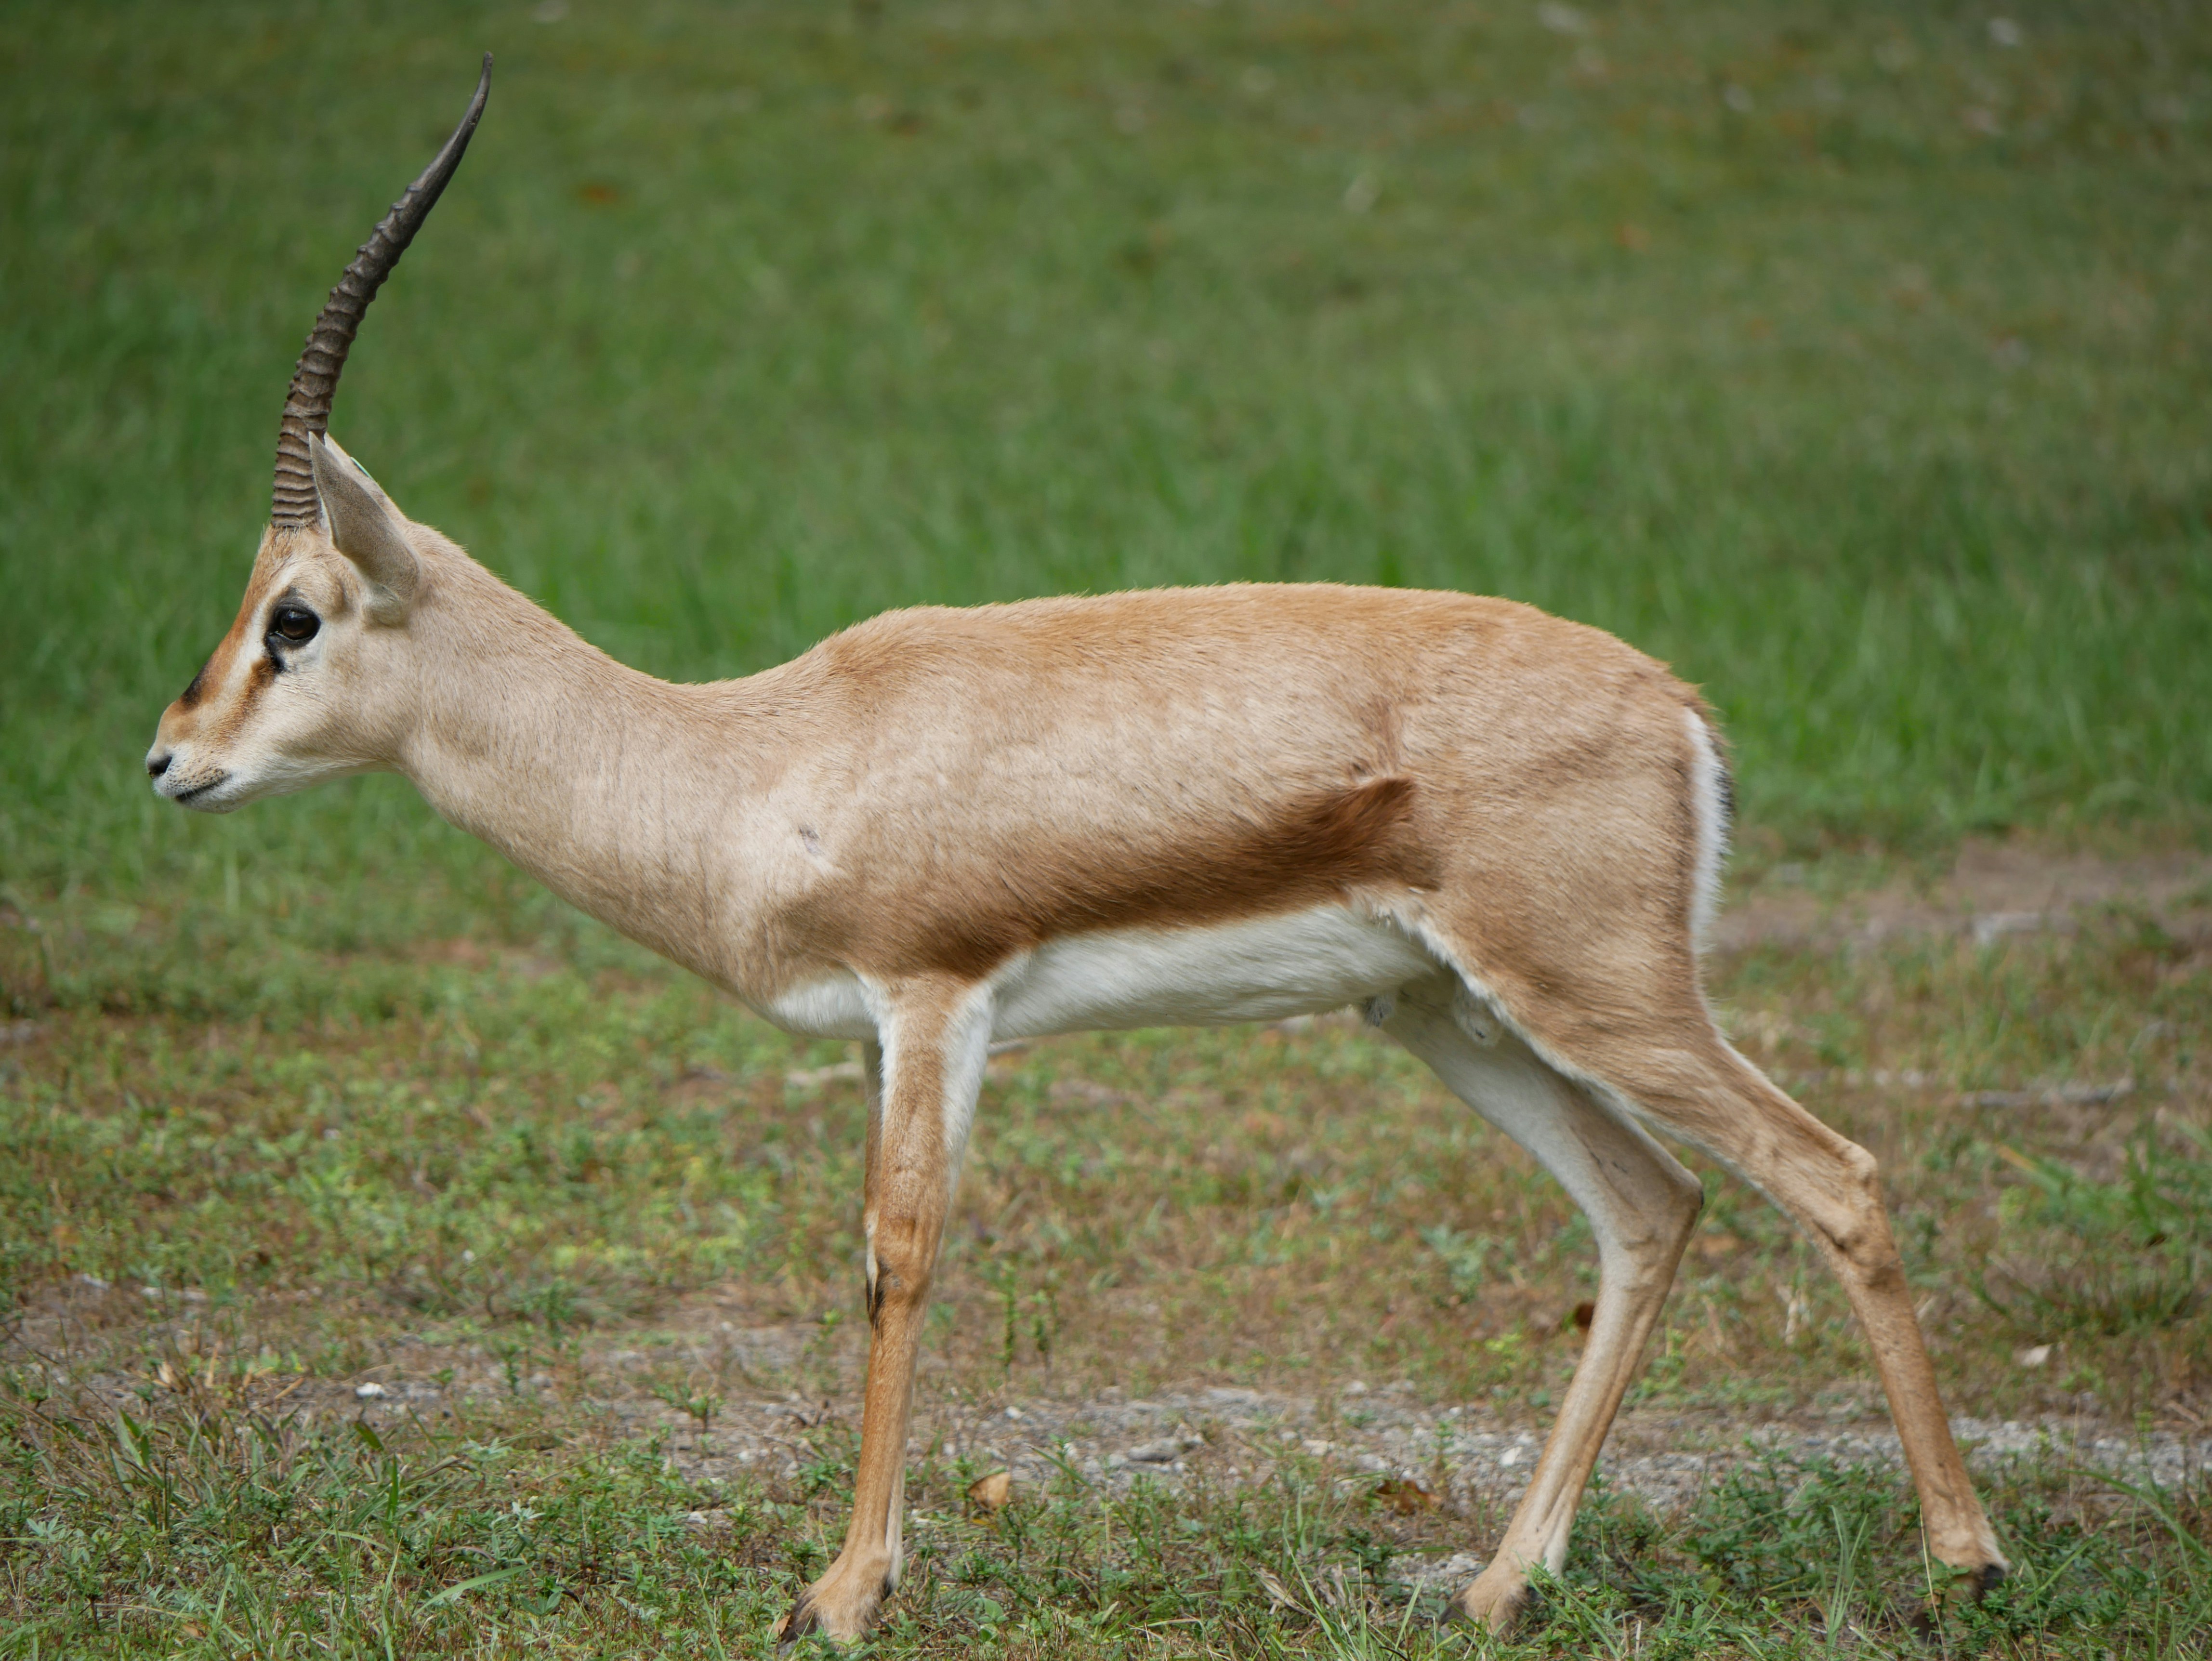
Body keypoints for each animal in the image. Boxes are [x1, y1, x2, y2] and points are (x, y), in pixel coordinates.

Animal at [147, 58, 2007, 1642]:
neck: (753, 757)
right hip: (1447, 1013)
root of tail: (1677, 703)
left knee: (1833, 1174)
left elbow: (897, 1256)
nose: (171, 760)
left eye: (297, 615)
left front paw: (841, 1593)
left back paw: (1965, 1559)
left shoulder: (933, 996)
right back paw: (1496, 1583)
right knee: (1653, 1205)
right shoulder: (900, 1024)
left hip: (1601, 996)